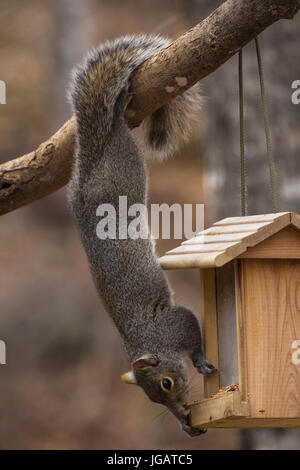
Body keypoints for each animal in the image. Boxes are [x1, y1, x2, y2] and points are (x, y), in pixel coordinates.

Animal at [67, 34, 216, 436]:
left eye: (165, 383)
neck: (149, 342)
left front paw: (200, 361)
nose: (180, 410)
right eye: (155, 398)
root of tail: (89, 171)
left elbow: (192, 330)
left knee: (118, 129)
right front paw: (186, 425)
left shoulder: (175, 323)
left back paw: (119, 107)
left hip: (126, 163)